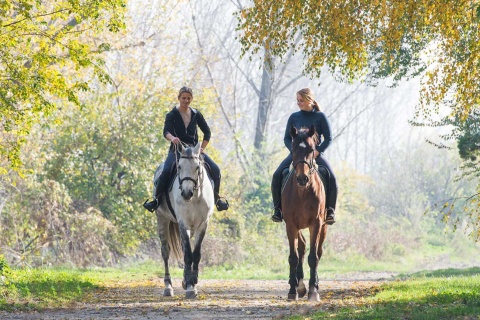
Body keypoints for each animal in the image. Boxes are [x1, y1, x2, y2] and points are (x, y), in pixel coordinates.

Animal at [154, 141, 214, 298]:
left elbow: (196, 254)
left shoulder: (202, 225)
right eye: (179, 166)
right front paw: (190, 287)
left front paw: (192, 281)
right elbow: (187, 254)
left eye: (197, 167)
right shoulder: (183, 223)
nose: (186, 193)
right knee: (165, 251)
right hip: (162, 218)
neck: (195, 198)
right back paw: (168, 287)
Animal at [284, 124, 328, 300]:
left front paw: (313, 291)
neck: (302, 192)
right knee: (301, 248)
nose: (302, 179)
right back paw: (300, 286)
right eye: (293, 149)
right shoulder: (290, 225)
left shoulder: (316, 224)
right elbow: (293, 257)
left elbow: (313, 257)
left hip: (323, 226)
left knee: (318, 252)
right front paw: (293, 290)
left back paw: (312, 284)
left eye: (311, 149)